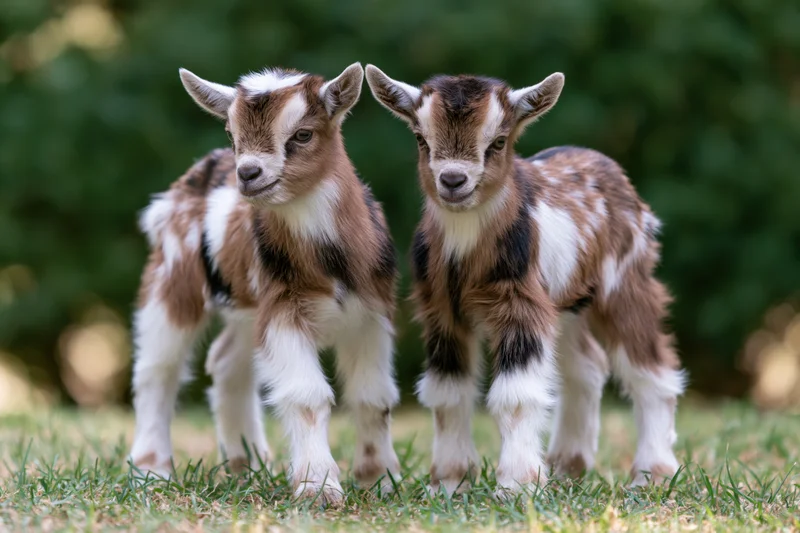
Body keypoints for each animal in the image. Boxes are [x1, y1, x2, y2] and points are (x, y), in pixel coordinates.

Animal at [129, 63, 400, 506]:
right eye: (231, 133)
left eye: (303, 134)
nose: (249, 173)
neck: (329, 261)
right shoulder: (284, 309)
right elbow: (307, 395)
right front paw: (318, 487)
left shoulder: (370, 315)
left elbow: (373, 396)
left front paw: (379, 479)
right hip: (172, 278)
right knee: (158, 368)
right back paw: (151, 470)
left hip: (247, 307)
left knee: (225, 362)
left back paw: (249, 467)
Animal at [365, 66, 684, 496]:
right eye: (421, 138)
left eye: (498, 142)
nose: (453, 180)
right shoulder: (441, 309)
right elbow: (448, 392)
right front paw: (448, 483)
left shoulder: (519, 303)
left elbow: (516, 395)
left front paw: (516, 485)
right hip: (567, 302)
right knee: (587, 367)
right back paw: (568, 466)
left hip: (625, 280)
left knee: (650, 369)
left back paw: (653, 473)